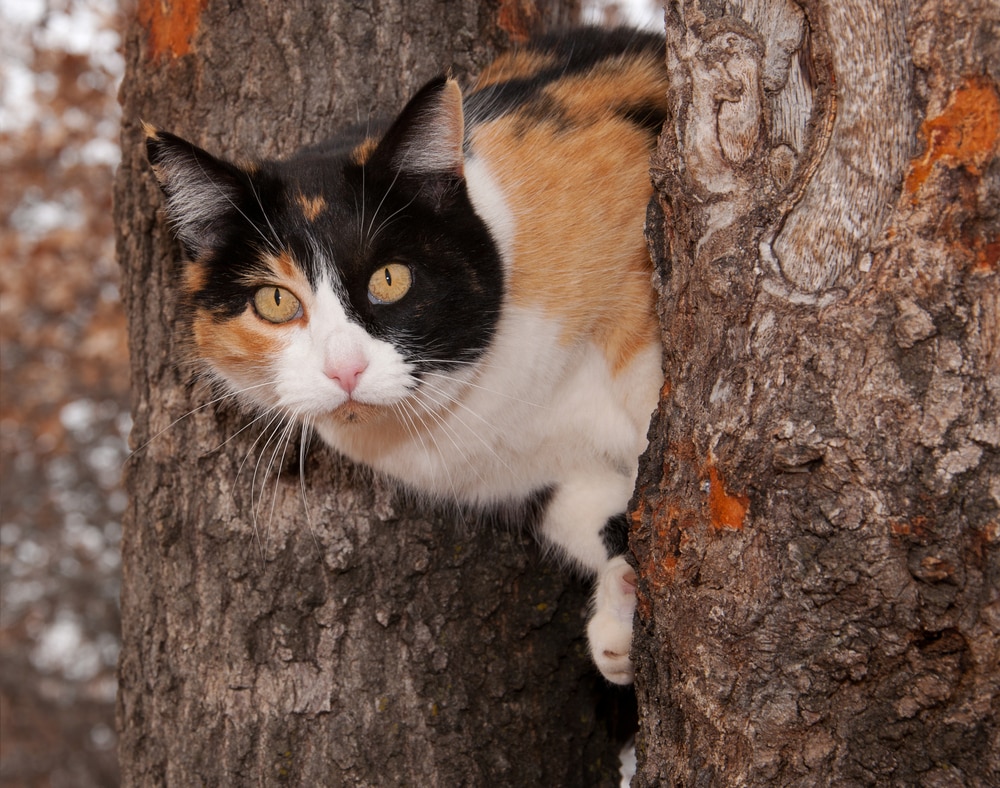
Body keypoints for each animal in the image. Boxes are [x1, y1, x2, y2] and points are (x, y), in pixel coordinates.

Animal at [145, 27, 668, 684]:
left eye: (390, 279)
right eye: (274, 300)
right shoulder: (536, 479)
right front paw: (619, 616)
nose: (345, 368)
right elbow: (596, 514)